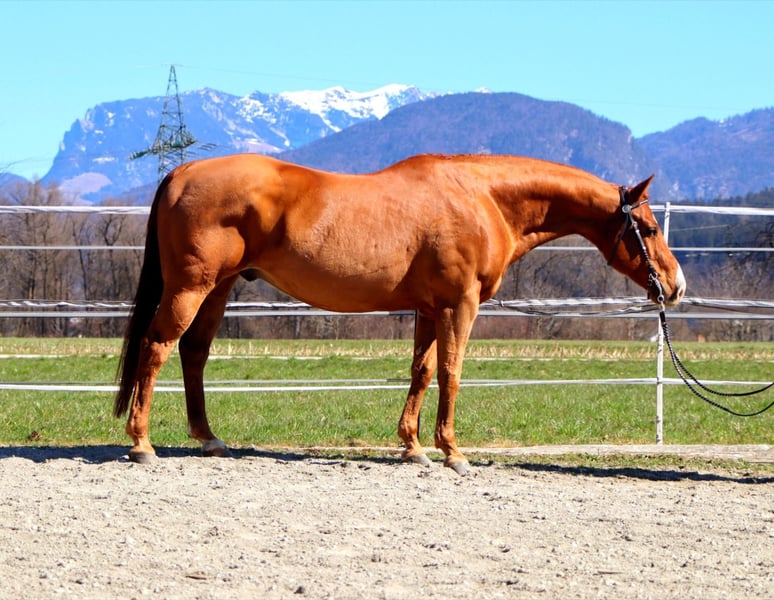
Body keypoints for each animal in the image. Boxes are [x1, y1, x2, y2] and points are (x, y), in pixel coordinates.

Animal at [114, 153, 686, 473]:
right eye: (650, 228)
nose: (675, 286)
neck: (480, 198)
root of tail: (181, 171)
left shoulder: (430, 309)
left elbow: (423, 371)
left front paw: (413, 447)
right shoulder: (459, 305)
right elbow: (452, 372)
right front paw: (453, 452)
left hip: (218, 288)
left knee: (193, 353)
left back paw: (209, 439)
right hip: (192, 287)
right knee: (157, 346)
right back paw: (142, 445)